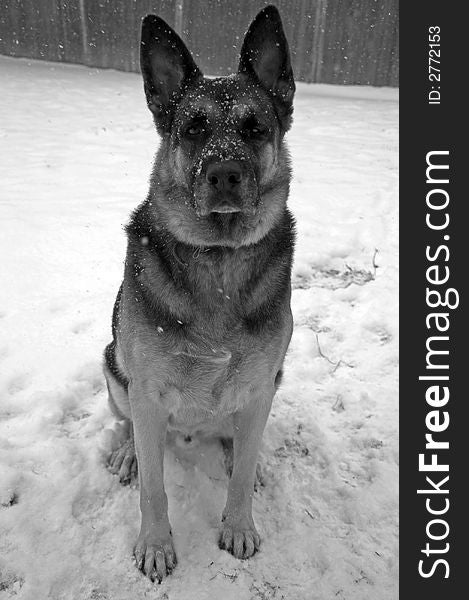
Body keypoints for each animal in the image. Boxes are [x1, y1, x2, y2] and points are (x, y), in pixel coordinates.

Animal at [105, 4, 296, 584]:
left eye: (255, 127)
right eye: (194, 127)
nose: (225, 174)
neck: (219, 258)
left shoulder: (260, 385)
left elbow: (239, 480)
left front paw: (238, 525)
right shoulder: (146, 393)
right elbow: (153, 489)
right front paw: (156, 545)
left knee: (241, 443)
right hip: (114, 368)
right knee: (127, 427)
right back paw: (127, 454)